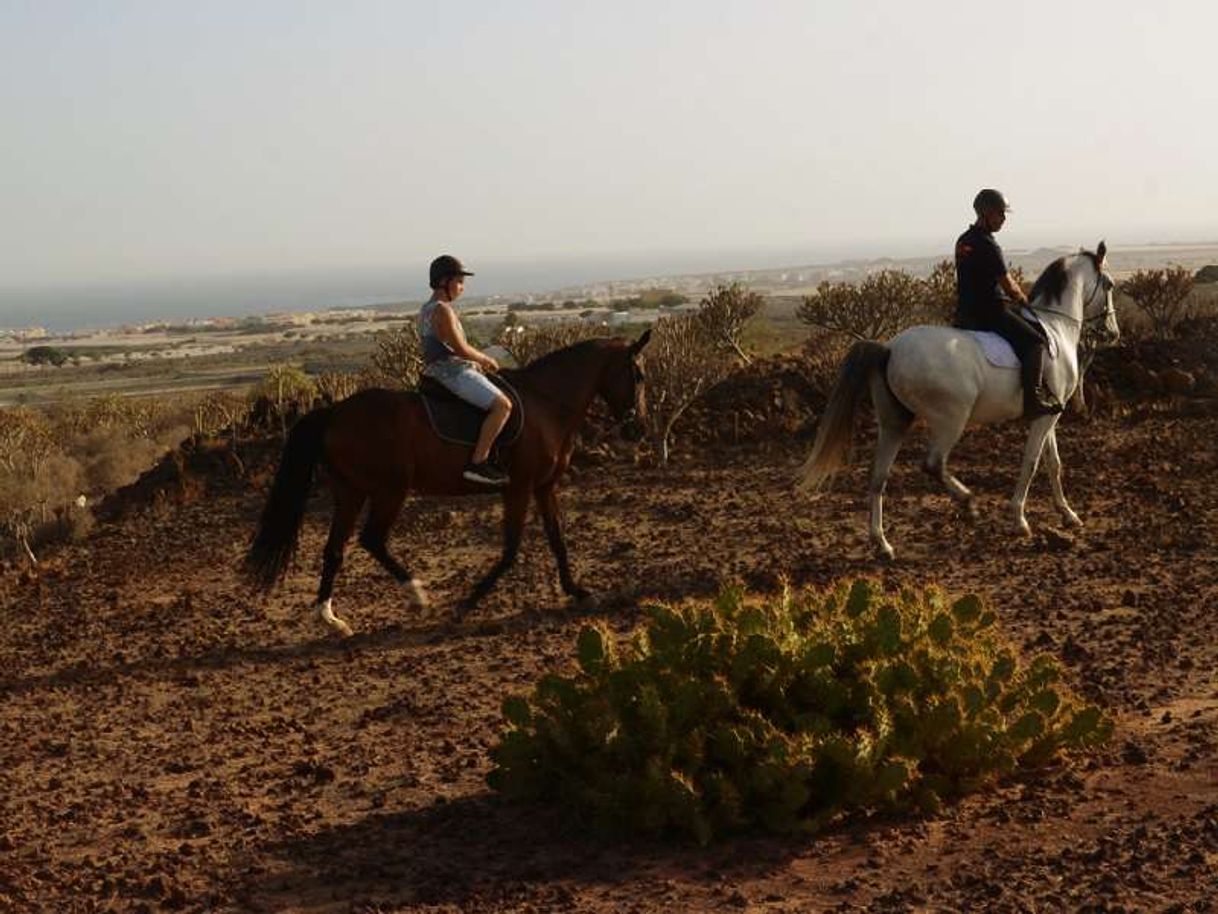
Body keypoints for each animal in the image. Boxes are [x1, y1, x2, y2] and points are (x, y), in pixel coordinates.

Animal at [241, 333, 652, 638]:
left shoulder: (543, 487)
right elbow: (510, 550)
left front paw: (578, 591)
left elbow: (557, 540)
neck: (546, 405)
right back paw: (418, 597)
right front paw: (465, 605)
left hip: (351, 491)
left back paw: (332, 620)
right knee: (371, 539)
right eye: (638, 377)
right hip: (390, 489)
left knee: (334, 550)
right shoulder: (518, 488)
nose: (638, 430)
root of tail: (335, 412)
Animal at [799, 243, 1120, 558]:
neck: (1055, 326)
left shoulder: (1049, 415)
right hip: (951, 419)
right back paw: (968, 503)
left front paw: (1068, 514)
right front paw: (1019, 520)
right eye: (1109, 284)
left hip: (894, 421)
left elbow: (1053, 463)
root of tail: (889, 348)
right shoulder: (1045, 416)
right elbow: (1031, 463)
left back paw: (882, 543)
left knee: (879, 477)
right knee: (933, 463)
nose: (1113, 333)